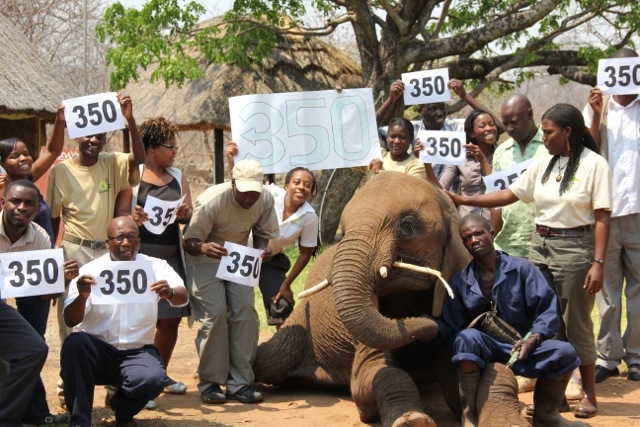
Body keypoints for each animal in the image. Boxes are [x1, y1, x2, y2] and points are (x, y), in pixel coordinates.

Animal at [252, 174, 528, 427]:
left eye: (407, 226)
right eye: (344, 231)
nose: (429, 324)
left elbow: (479, 373)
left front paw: (507, 421)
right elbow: (373, 373)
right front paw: (413, 421)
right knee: (270, 360)